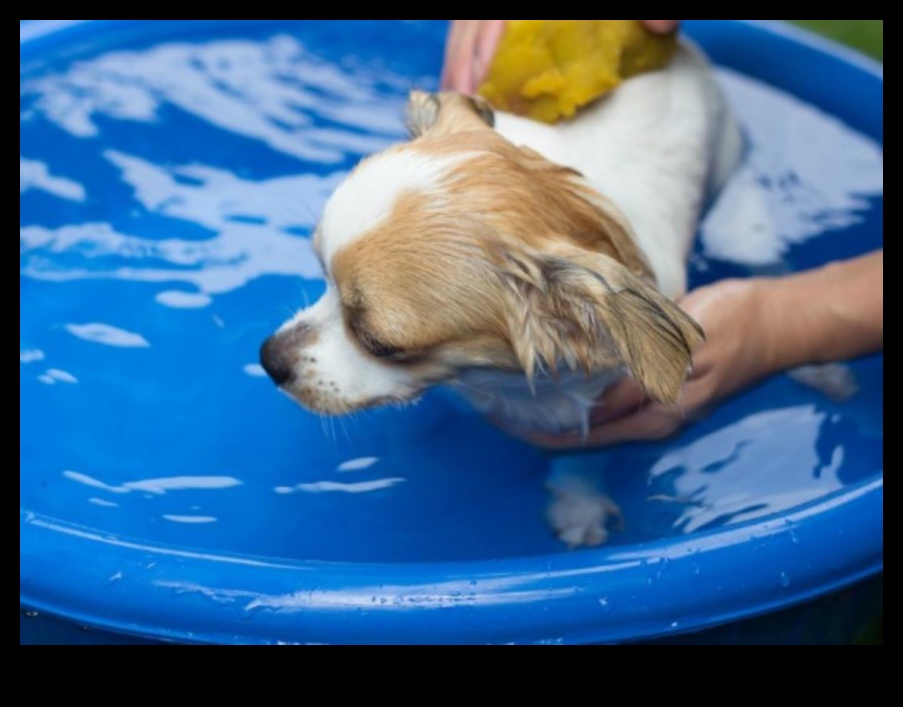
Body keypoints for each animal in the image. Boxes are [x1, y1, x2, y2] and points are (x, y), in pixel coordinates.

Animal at [260, 37, 740, 548]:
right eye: (322, 274)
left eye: (379, 343)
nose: (269, 358)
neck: (492, 382)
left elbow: (584, 452)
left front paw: (579, 503)